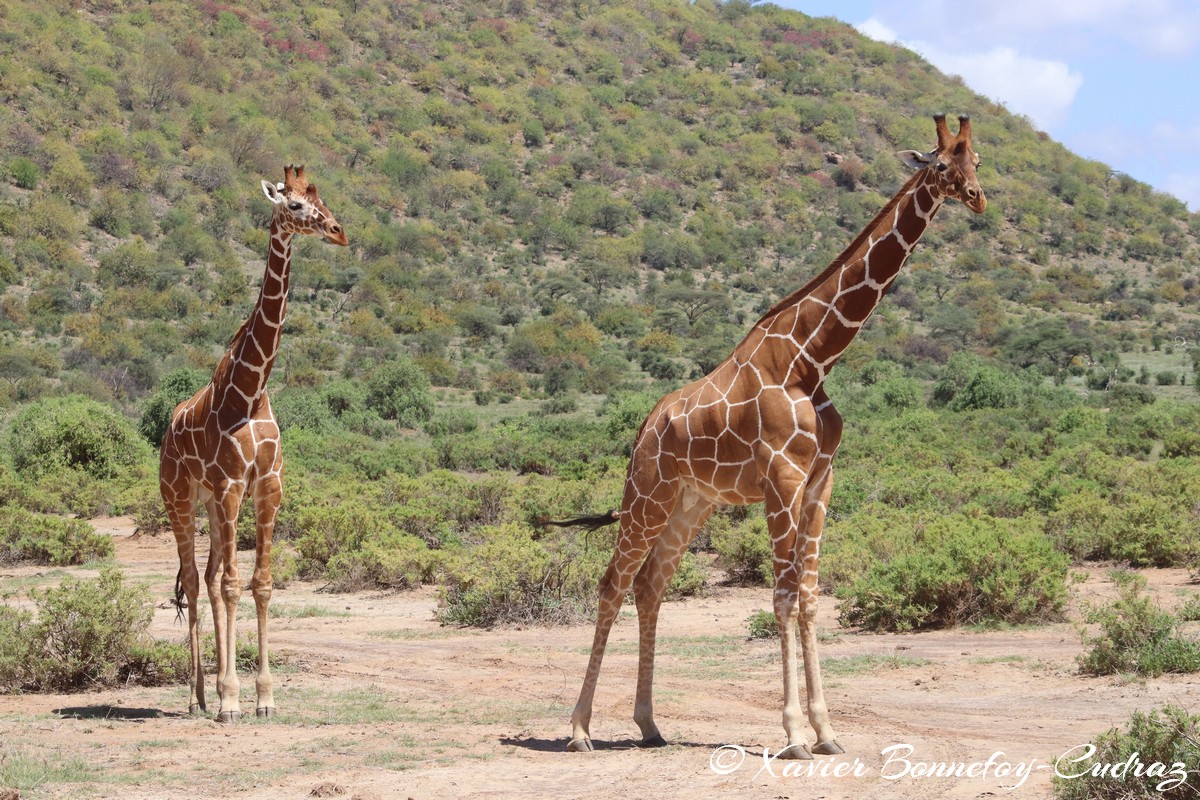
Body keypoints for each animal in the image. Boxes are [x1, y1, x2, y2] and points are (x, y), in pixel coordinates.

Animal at [159, 165, 348, 724]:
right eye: (297, 207)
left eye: (322, 201)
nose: (339, 232)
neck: (252, 389)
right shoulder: (228, 486)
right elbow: (231, 585)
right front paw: (232, 698)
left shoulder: (266, 486)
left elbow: (259, 583)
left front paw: (263, 696)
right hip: (180, 499)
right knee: (196, 582)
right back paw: (200, 696)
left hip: (213, 504)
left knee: (209, 576)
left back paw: (211, 694)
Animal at [552, 115, 984, 762]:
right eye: (939, 165)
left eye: (976, 160)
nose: (978, 198)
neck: (814, 357)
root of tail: (647, 424)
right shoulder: (781, 479)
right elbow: (780, 598)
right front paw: (795, 734)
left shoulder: (820, 482)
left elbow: (809, 597)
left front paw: (827, 731)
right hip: (647, 494)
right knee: (613, 584)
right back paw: (579, 730)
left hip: (692, 504)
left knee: (651, 587)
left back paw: (649, 724)